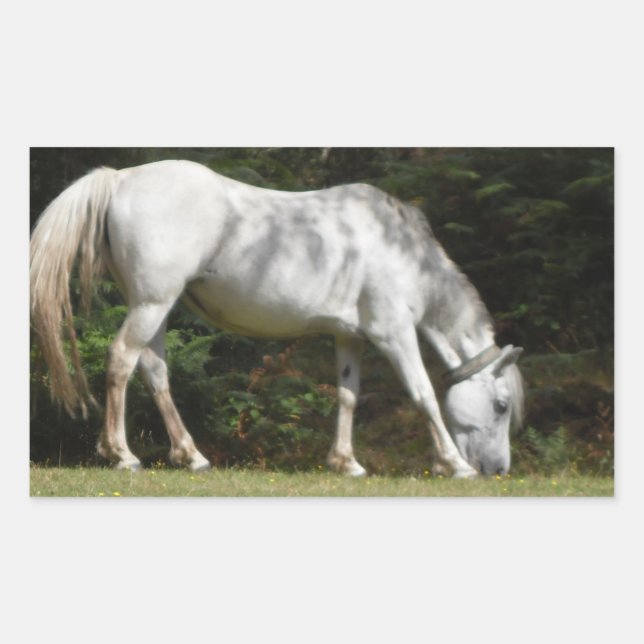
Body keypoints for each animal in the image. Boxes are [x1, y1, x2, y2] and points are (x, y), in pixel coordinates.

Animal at [30, 159, 523, 478]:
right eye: (501, 405)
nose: (498, 470)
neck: (398, 249)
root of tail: (120, 179)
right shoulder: (394, 334)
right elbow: (423, 394)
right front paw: (453, 464)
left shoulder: (350, 337)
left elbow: (348, 396)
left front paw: (346, 462)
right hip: (151, 304)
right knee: (121, 362)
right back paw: (122, 454)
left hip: (154, 308)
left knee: (154, 371)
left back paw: (191, 455)